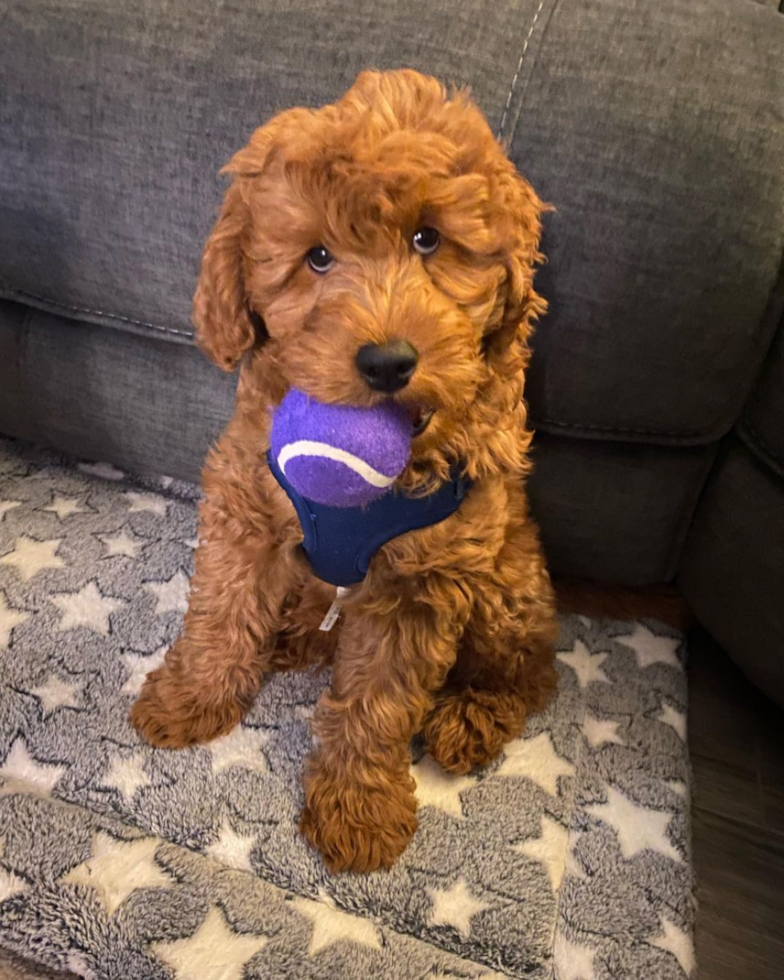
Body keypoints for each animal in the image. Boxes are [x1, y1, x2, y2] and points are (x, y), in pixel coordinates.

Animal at [130, 69, 556, 872]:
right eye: (318, 258)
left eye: (428, 239)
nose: (388, 362)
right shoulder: (246, 505)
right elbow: (222, 611)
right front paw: (191, 698)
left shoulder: (424, 585)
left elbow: (377, 701)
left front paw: (358, 808)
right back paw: (293, 635)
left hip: (506, 583)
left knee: (527, 671)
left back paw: (470, 719)